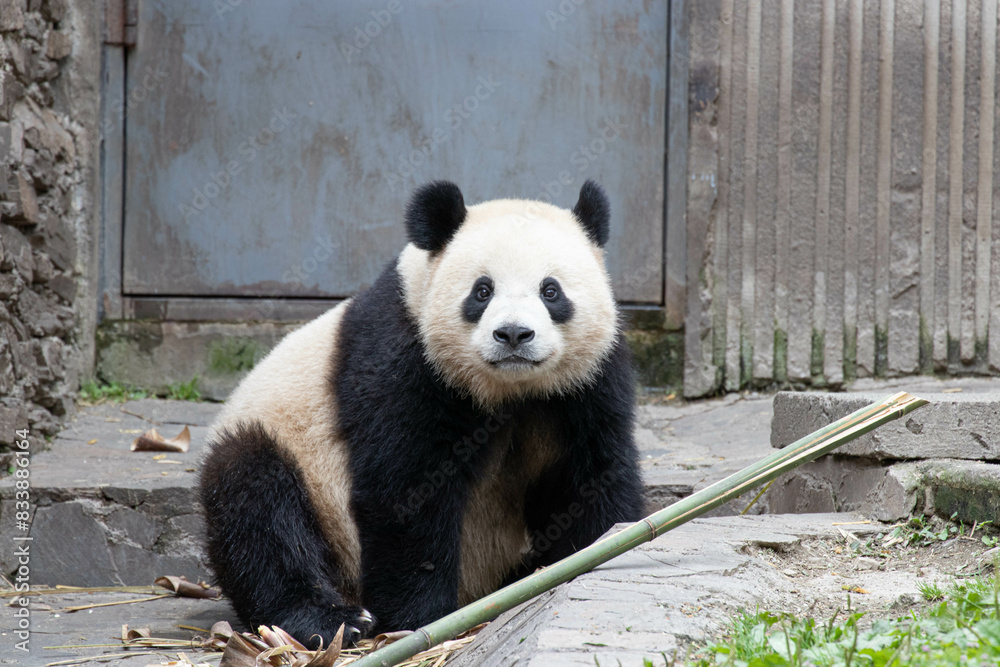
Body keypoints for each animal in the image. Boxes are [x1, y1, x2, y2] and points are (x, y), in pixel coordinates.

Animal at [199, 180, 645, 648]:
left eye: (551, 290)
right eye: (482, 291)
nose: (513, 335)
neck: (511, 389)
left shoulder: (588, 381)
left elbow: (591, 477)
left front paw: (597, 549)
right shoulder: (404, 359)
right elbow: (407, 490)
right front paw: (419, 618)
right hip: (284, 448)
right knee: (258, 508)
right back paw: (333, 619)